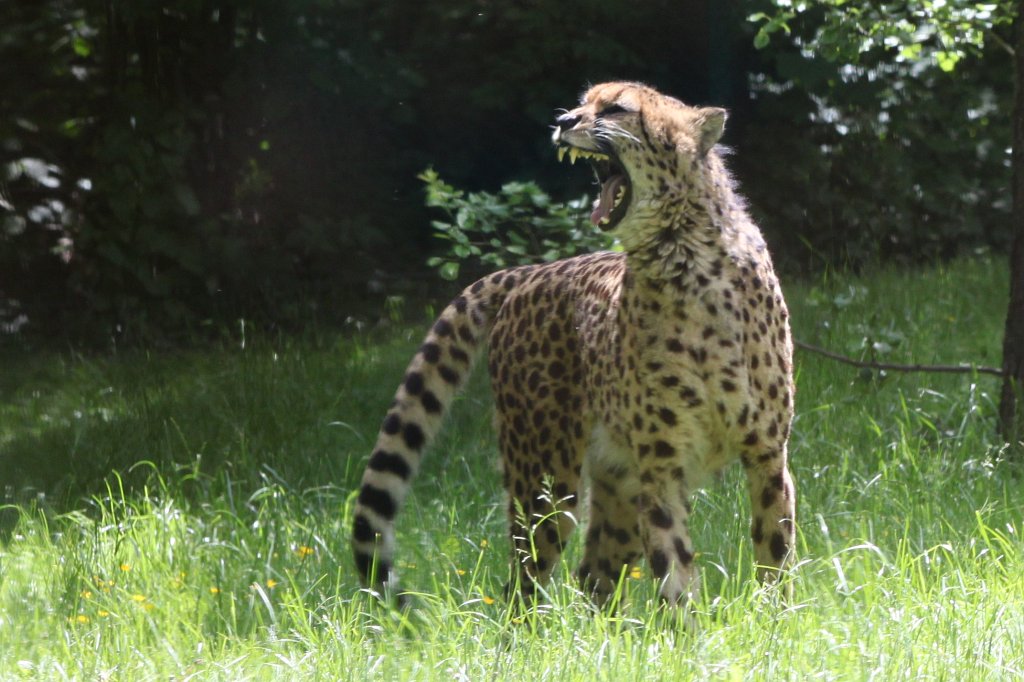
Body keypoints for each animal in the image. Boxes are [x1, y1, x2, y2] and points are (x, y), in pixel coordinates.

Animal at [351, 81, 796, 609]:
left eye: (616, 108)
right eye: (583, 103)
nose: (564, 121)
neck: (684, 254)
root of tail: (530, 272)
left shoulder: (767, 451)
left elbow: (774, 552)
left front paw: (774, 618)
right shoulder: (661, 467)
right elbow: (673, 568)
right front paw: (686, 628)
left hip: (614, 478)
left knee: (593, 575)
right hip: (545, 479)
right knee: (523, 584)